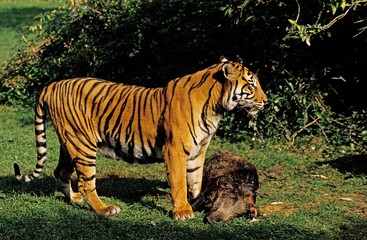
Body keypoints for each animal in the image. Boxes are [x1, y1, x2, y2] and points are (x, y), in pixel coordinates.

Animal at [13, 55, 268, 219]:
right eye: (251, 84)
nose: (265, 101)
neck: (215, 107)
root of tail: (52, 85)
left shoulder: (198, 152)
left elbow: (195, 181)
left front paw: (198, 202)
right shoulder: (175, 149)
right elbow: (179, 182)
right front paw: (183, 212)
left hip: (70, 143)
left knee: (61, 172)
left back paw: (74, 199)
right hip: (82, 146)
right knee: (87, 183)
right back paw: (104, 209)